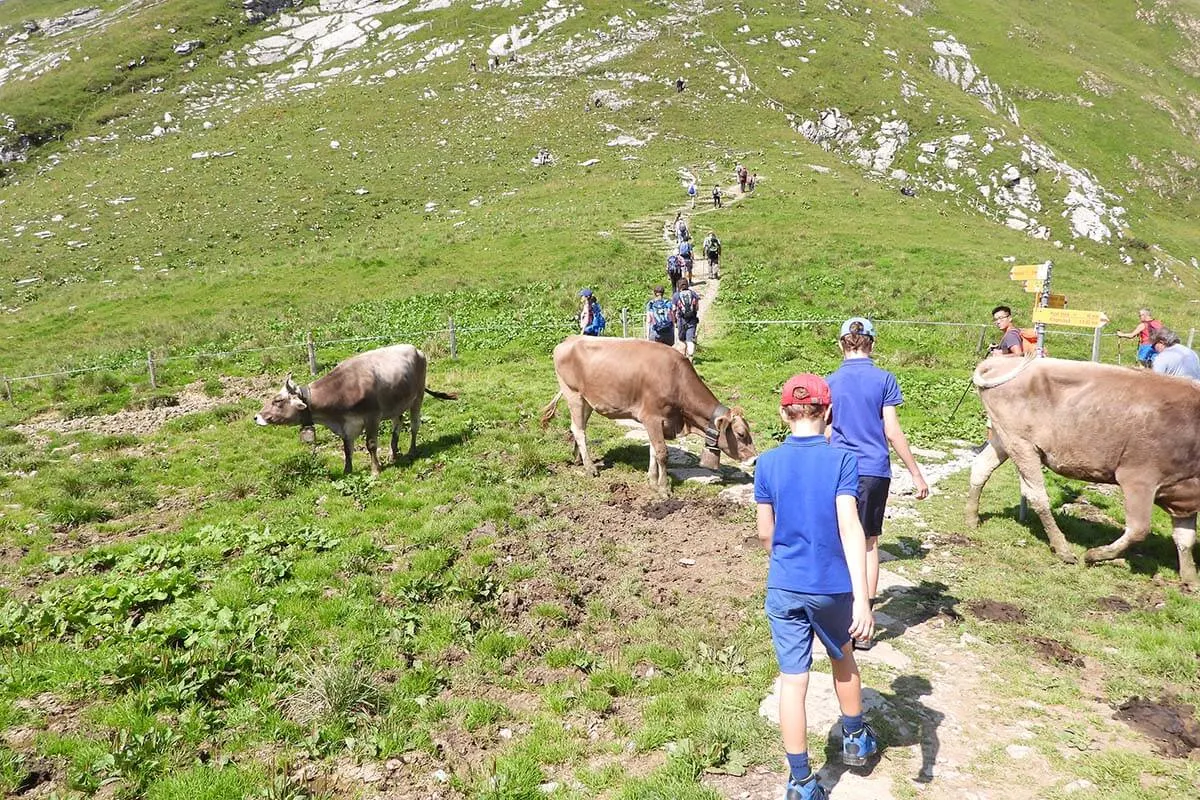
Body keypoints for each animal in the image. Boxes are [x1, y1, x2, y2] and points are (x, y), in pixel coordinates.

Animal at [255, 345, 456, 474]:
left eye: (278, 400)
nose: (256, 417)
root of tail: (416, 349)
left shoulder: (372, 416)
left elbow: (371, 444)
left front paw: (375, 470)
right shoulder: (346, 425)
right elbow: (347, 448)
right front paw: (348, 470)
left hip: (418, 397)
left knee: (414, 425)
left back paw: (411, 451)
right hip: (396, 404)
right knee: (397, 426)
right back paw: (393, 453)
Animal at [540, 333, 753, 494]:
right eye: (741, 434)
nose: (754, 459)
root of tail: (570, 339)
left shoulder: (657, 421)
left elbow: (653, 450)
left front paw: (652, 480)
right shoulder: (652, 417)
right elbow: (662, 453)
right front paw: (664, 487)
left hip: (587, 401)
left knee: (578, 427)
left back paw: (579, 459)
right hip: (573, 393)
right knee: (579, 430)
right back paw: (590, 468)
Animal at [964, 357, 1200, 587]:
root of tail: (1001, 361)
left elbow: (1185, 539)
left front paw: (1191, 580)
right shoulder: (1139, 478)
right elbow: (1139, 530)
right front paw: (1094, 555)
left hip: (1003, 438)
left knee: (980, 468)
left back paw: (972, 519)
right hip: (1021, 443)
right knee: (1037, 495)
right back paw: (1063, 549)